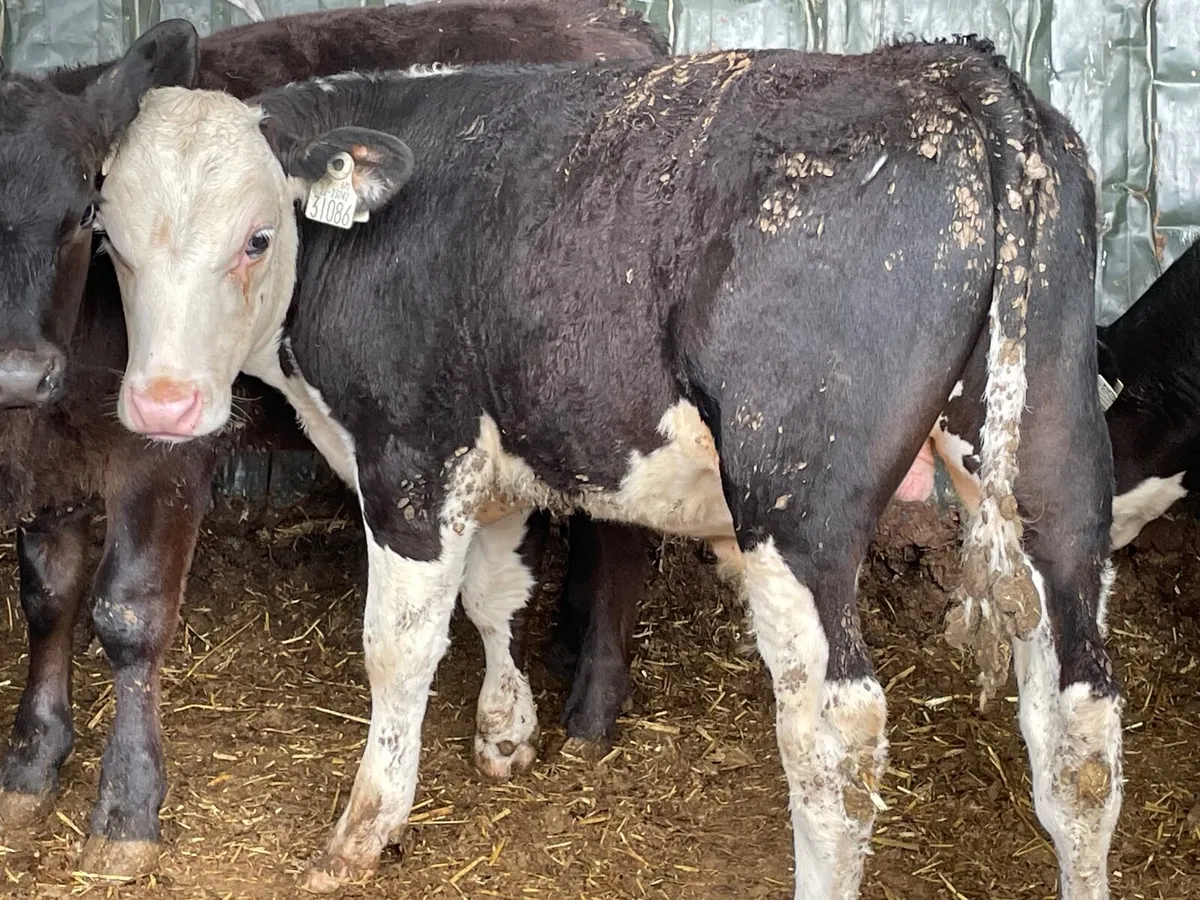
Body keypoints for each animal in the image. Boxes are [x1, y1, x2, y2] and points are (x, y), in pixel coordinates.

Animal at [0, 0, 666, 878]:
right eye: (108, 228)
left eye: (80, 213)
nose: (16, 370)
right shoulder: (51, 462)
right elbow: (48, 599)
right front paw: (31, 764)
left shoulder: (162, 458)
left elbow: (127, 614)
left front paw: (126, 810)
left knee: (622, 542)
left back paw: (592, 707)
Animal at [98, 39, 1122, 899]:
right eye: (109, 240)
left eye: (257, 237)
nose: (162, 405)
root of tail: (953, 74)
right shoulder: (496, 450)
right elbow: (496, 594)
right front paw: (506, 733)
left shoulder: (411, 457)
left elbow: (398, 649)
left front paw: (361, 834)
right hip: (1053, 474)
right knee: (1078, 724)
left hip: (797, 503)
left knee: (836, 733)